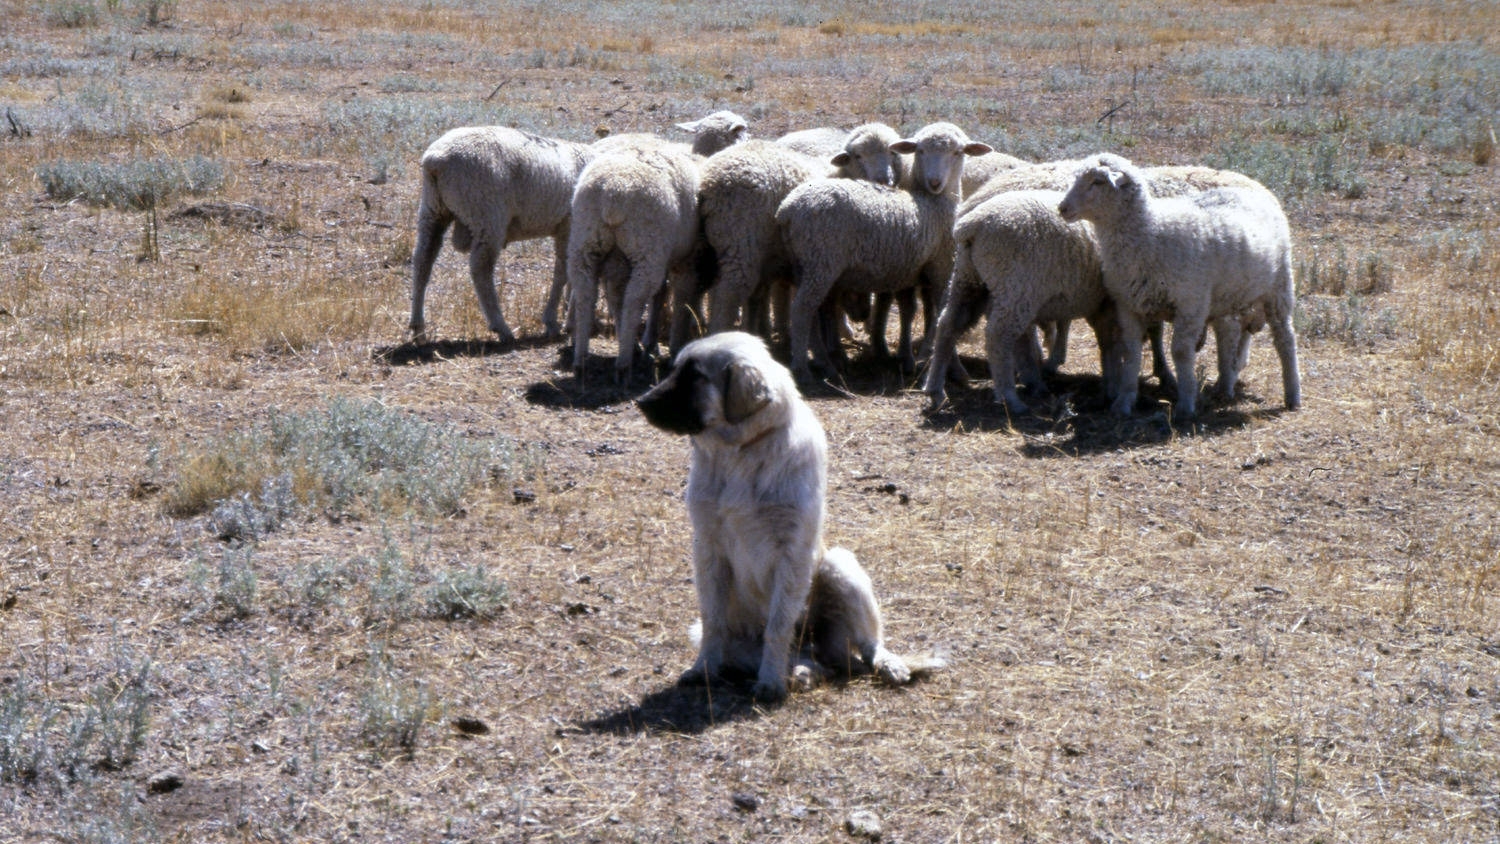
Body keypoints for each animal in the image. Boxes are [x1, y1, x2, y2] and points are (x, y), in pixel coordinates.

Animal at [408, 112, 747, 346]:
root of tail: (436, 160)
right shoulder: (572, 227)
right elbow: (566, 274)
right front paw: (562, 321)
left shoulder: (568, 229)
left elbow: (565, 273)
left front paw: (564, 318)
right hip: (486, 214)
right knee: (480, 271)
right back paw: (501, 327)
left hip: (433, 210)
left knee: (422, 261)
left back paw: (417, 327)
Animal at [567, 139, 702, 386]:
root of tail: (614, 191)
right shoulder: (685, 259)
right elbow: (679, 299)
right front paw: (673, 346)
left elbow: (658, 295)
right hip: (647, 249)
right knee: (634, 299)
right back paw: (623, 364)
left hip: (586, 242)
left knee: (586, 294)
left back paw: (581, 361)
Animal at [633, 334, 936, 704]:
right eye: (677, 370)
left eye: (695, 375)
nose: (640, 401)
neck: (742, 454)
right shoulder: (708, 550)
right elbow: (712, 620)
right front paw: (703, 669)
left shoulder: (792, 553)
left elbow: (778, 626)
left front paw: (770, 683)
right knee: (812, 661)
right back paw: (803, 672)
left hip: (839, 565)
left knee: (868, 643)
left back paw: (885, 664)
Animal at [774, 121, 996, 383]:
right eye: (920, 151)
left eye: (957, 152)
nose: (935, 182)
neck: (934, 202)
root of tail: (787, 210)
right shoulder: (941, 266)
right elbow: (944, 315)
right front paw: (953, 368)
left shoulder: (909, 271)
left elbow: (910, 310)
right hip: (821, 262)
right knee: (802, 310)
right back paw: (804, 369)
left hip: (805, 264)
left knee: (812, 310)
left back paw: (824, 362)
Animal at [1056, 153, 1302, 419]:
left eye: (1097, 182)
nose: (1062, 208)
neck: (1150, 233)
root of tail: (1257, 191)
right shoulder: (1128, 305)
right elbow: (1130, 353)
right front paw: (1124, 402)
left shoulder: (1190, 304)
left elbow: (1181, 352)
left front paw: (1185, 404)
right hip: (1231, 294)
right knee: (1230, 336)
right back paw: (1225, 387)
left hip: (1279, 286)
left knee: (1285, 339)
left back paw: (1292, 395)